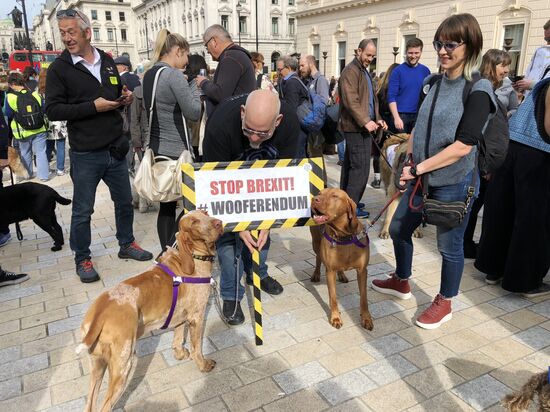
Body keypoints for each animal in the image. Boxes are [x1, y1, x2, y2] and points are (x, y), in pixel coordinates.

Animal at [76, 211, 223, 410]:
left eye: (206, 213)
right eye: (194, 221)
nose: (219, 223)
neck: (192, 257)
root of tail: (100, 310)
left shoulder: (180, 316)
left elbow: (178, 338)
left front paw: (179, 354)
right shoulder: (196, 317)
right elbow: (197, 348)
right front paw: (203, 365)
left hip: (97, 366)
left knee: (90, 404)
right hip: (122, 366)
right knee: (106, 405)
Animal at [310, 188, 376, 330]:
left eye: (335, 196)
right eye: (319, 194)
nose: (314, 199)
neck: (344, 236)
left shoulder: (362, 271)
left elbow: (364, 298)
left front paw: (366, 318)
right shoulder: (330, 272)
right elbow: (333, 297)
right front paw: (335, 318)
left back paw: (341, 275)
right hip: (316, 243)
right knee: (318, 257)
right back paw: (316, 274)